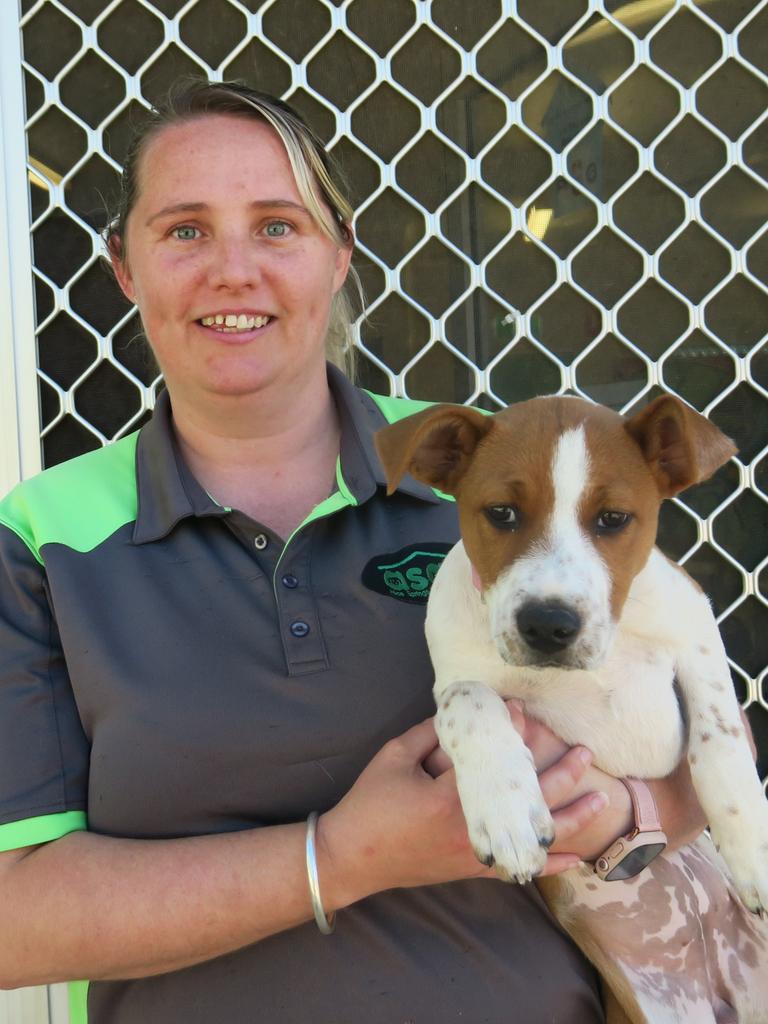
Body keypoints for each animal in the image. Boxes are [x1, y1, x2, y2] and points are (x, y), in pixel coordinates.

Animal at [376, 397, 768, 1024]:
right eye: (502, 513)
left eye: (612, 519)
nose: (548, 624)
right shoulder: (455, 681)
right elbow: (472, 704)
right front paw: (507, 813)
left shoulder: (696, 634)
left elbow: (720, 740)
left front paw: (753, 850)